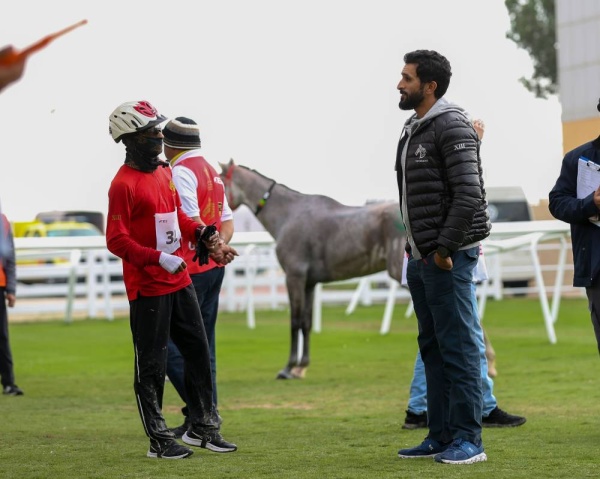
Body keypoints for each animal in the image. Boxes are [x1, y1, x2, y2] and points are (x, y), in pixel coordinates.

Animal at [220, 159, 408, 380]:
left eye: (219, 181)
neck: (289, 215)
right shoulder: (309, 284)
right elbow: (306, 323)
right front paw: (301, 367)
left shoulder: (294, 278)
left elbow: (294, 322)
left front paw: (288, 368)